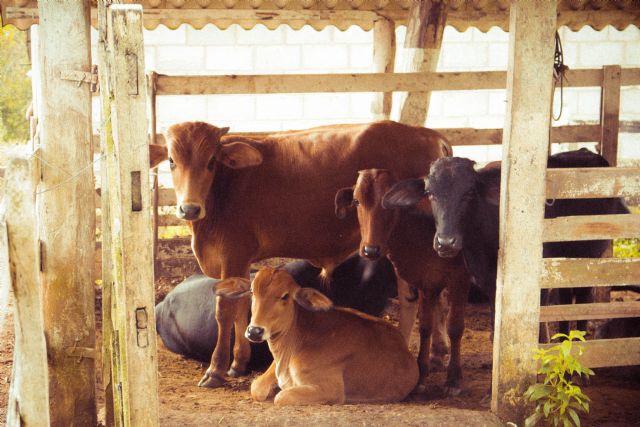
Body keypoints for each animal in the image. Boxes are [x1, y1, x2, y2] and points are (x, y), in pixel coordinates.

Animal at [215, 270, 418, 406]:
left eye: (285, 296)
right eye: (251, 292)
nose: (255, 331)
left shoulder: (331, 389)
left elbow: (282, 397)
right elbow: (256, 387)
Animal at [336, 169, 470, 396]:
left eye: (389, 203)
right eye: (356, 201)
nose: (370, 250)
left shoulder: (459, 279)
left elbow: (455, 327)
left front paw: (453, 379)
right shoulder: (427, 281)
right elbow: (425, 326)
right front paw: (421, 375)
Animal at [384, 150, 632, 338]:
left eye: (470, 192)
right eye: (430, 193)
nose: (445, 242)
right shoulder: (489, 285)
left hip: (587, 258)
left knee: (581, 301)